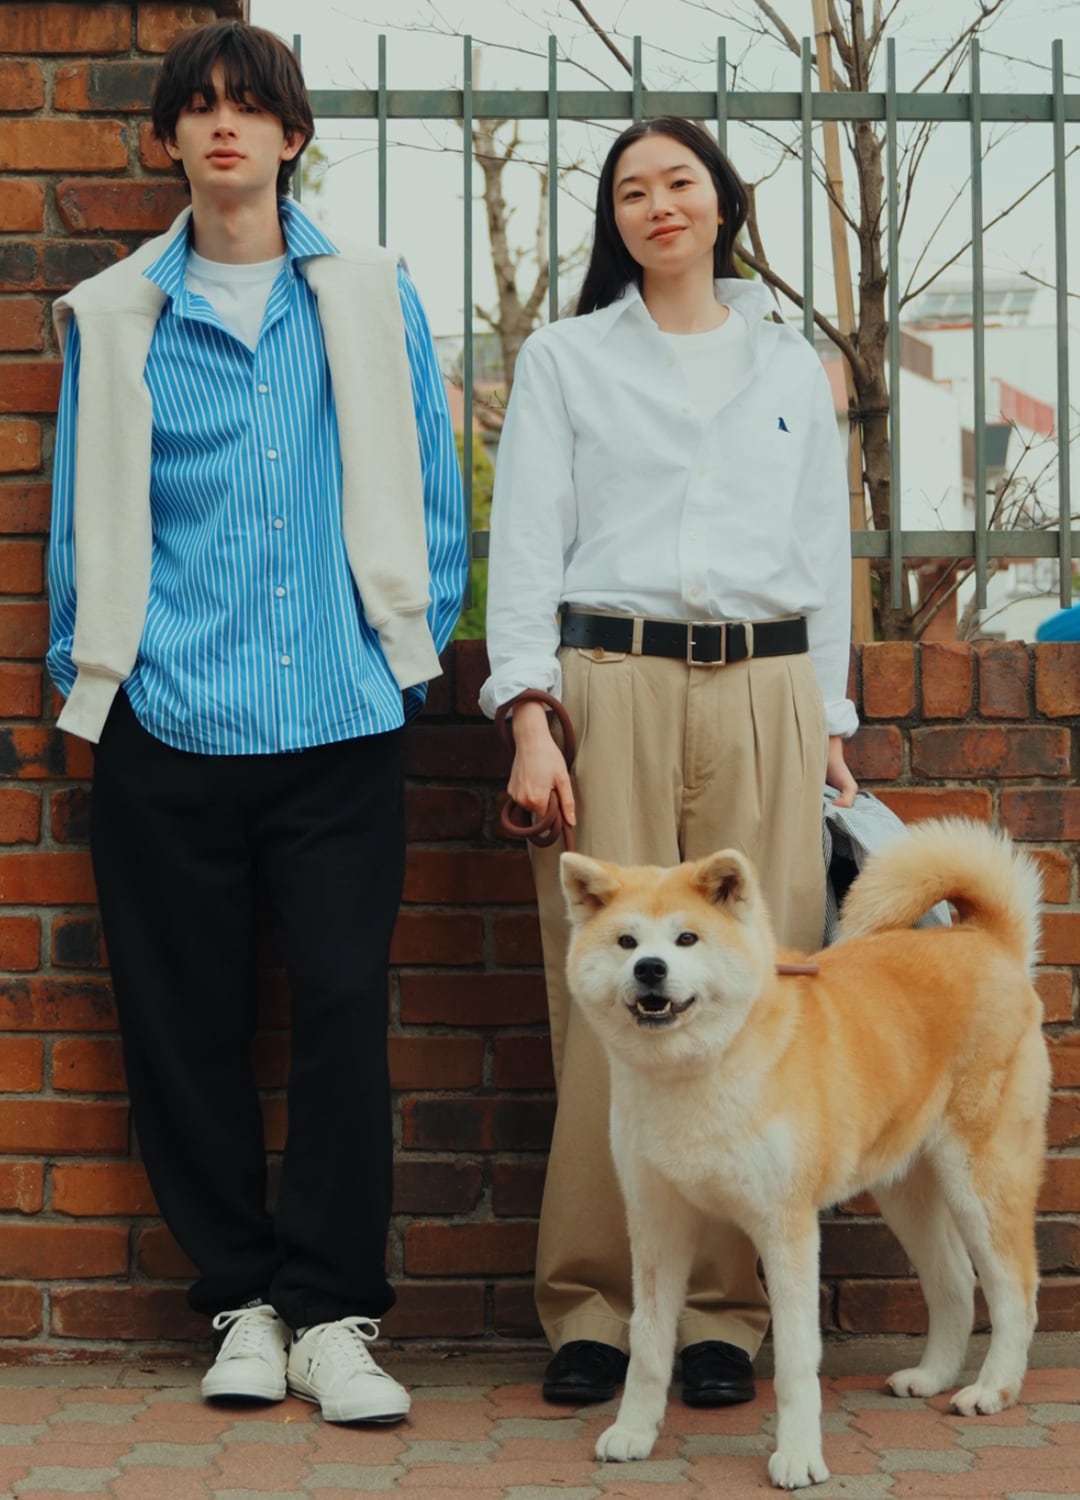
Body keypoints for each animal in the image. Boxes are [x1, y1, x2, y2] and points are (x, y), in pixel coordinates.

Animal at [560, 819, 1049, 1490]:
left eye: (687, 938)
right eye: (626, 941)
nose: (651, 969)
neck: (700, 1073)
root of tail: (987, 939)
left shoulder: (786, 1227)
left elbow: (795, 1362)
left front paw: (797, 1457)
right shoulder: (657, 1224)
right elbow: (648, 1341)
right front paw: (634, 1431)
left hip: (979, 1177)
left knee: (1013, 1289)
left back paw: (993, 1389)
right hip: (907, 1192)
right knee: (952, 1281)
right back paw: (930, 1377)